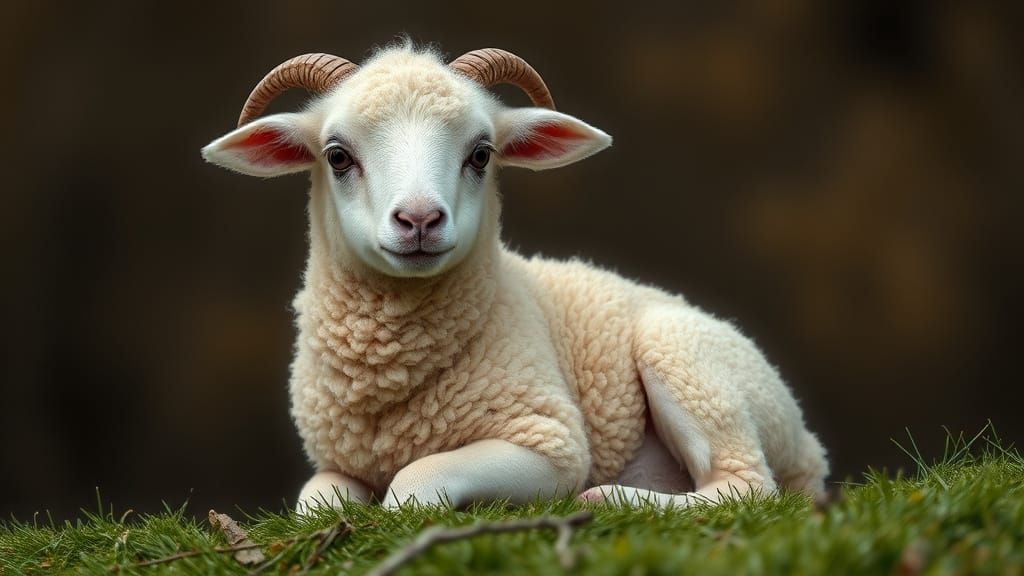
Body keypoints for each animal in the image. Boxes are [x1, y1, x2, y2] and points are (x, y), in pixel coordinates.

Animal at [201, 43, 829, 511]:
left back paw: (610, 498)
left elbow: (414, 484)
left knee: (746, 486)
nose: (420, 220)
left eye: (481, 154)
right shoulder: (336, 462)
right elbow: (314, 503)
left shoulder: (551, 440)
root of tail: (808, 448)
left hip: (688, 359)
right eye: (336, 156)